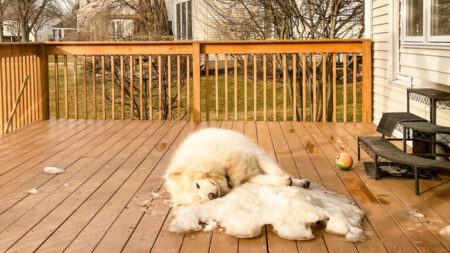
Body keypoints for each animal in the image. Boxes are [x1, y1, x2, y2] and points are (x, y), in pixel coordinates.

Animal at [165, 128, 310, 206]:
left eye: (197, 185)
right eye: (199, 199)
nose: (211, 197)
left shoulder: (255, 156)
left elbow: (277, 171)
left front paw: (293, 183)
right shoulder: (250, 175)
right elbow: (269, 179)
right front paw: (285, 183)